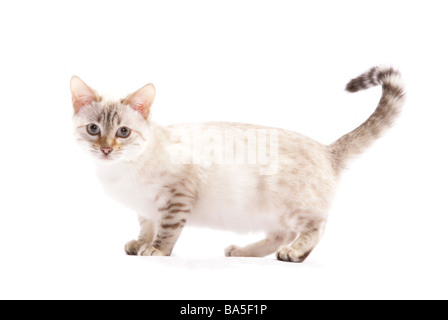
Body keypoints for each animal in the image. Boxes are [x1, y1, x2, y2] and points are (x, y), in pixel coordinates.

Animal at [71, 67, 406, 262]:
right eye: (93, 129)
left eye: (123, 132)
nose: (105, 149)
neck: (120, 172)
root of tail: (326, 149)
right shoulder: (145, 206)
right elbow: (146, 225)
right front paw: (139, 243)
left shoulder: (178, 195)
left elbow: (166, 230)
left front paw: (156, 249)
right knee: (279, 235)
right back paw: (243, 252)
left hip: (293, 207)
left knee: (315, 226)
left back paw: (295, 253)